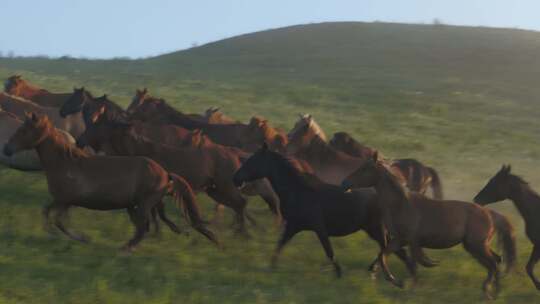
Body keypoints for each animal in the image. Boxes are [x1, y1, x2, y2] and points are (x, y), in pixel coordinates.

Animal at [3, 113, 219, 251]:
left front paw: (83, 238)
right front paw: (53, 234)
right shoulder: (64, 201)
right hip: (135, 205)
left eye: (24, 131)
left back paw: (124, 249)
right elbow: (48, 213)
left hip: (143, 204)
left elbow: (58, 221)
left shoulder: (65, 200)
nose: (6, 149)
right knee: (145, 226)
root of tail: (166, 174)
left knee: (143, 228)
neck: (65, 163)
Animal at [342, 152, 516, 300]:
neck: (401, 204)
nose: (345, 183)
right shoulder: (400, 240)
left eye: (365, 169)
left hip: (477, 246)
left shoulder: (412, 242)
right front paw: (397, 282)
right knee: (496, 261)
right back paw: (492, 292)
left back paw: (491, 293)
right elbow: (383, 256)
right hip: (474, 247)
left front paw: (409, 289)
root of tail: (490, 214)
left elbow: (413, 266)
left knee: (493, 264)